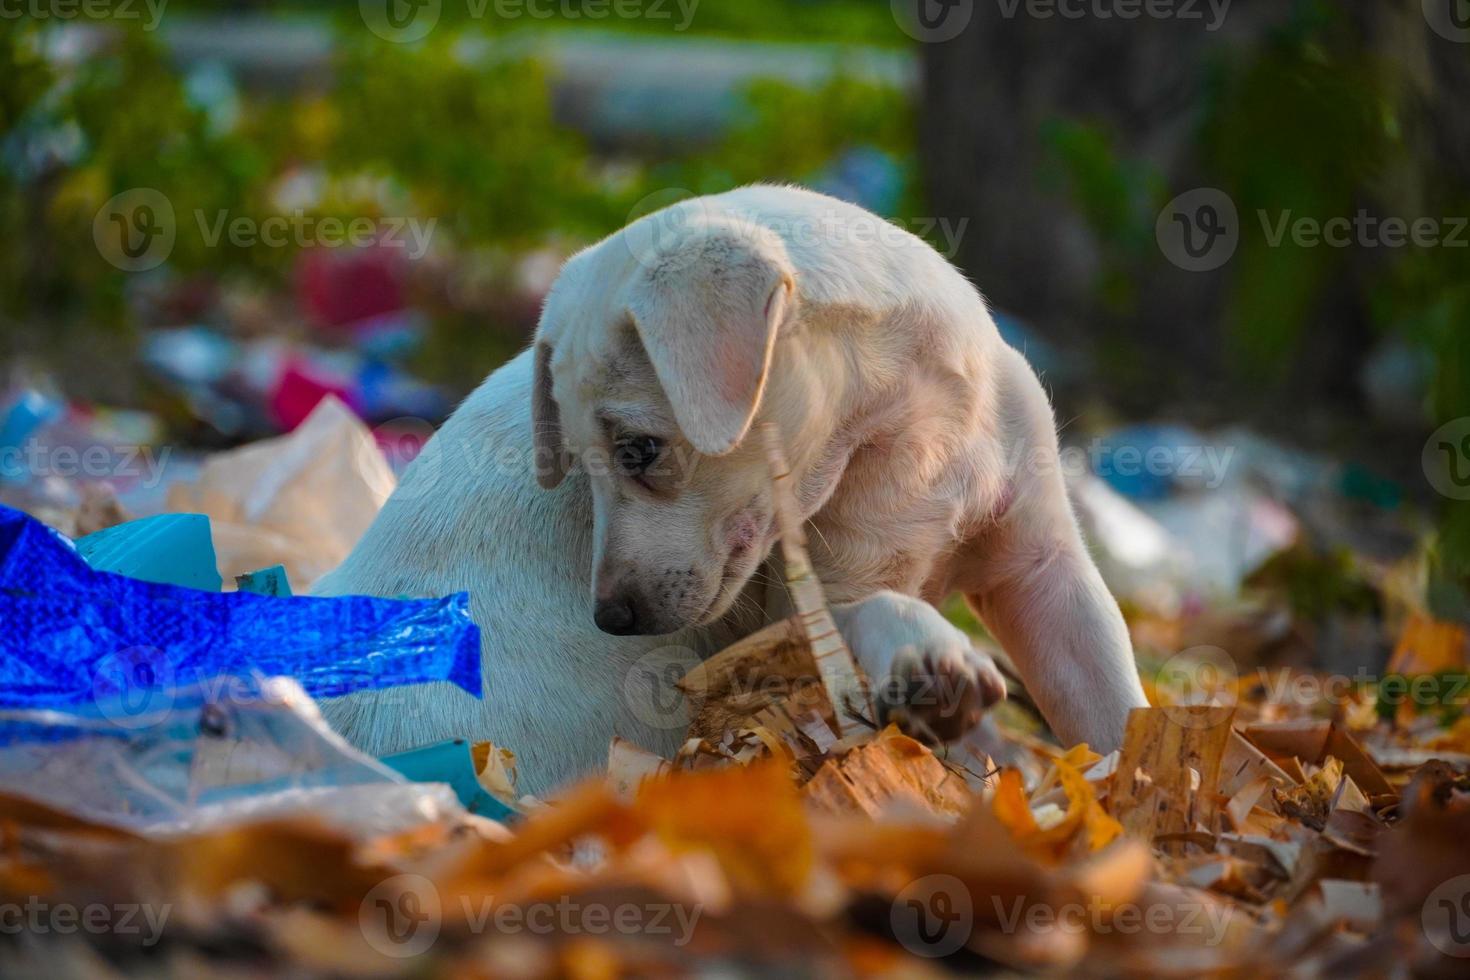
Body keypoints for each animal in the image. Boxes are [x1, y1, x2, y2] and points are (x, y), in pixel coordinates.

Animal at [318, 185, 1146, 799]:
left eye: (640, 451)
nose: (612, 618)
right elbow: (866, 615)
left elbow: (1114, 703)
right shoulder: (808, 605)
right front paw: (926, 656)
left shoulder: (1043, 571)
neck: (899, 429)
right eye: (578, 466)